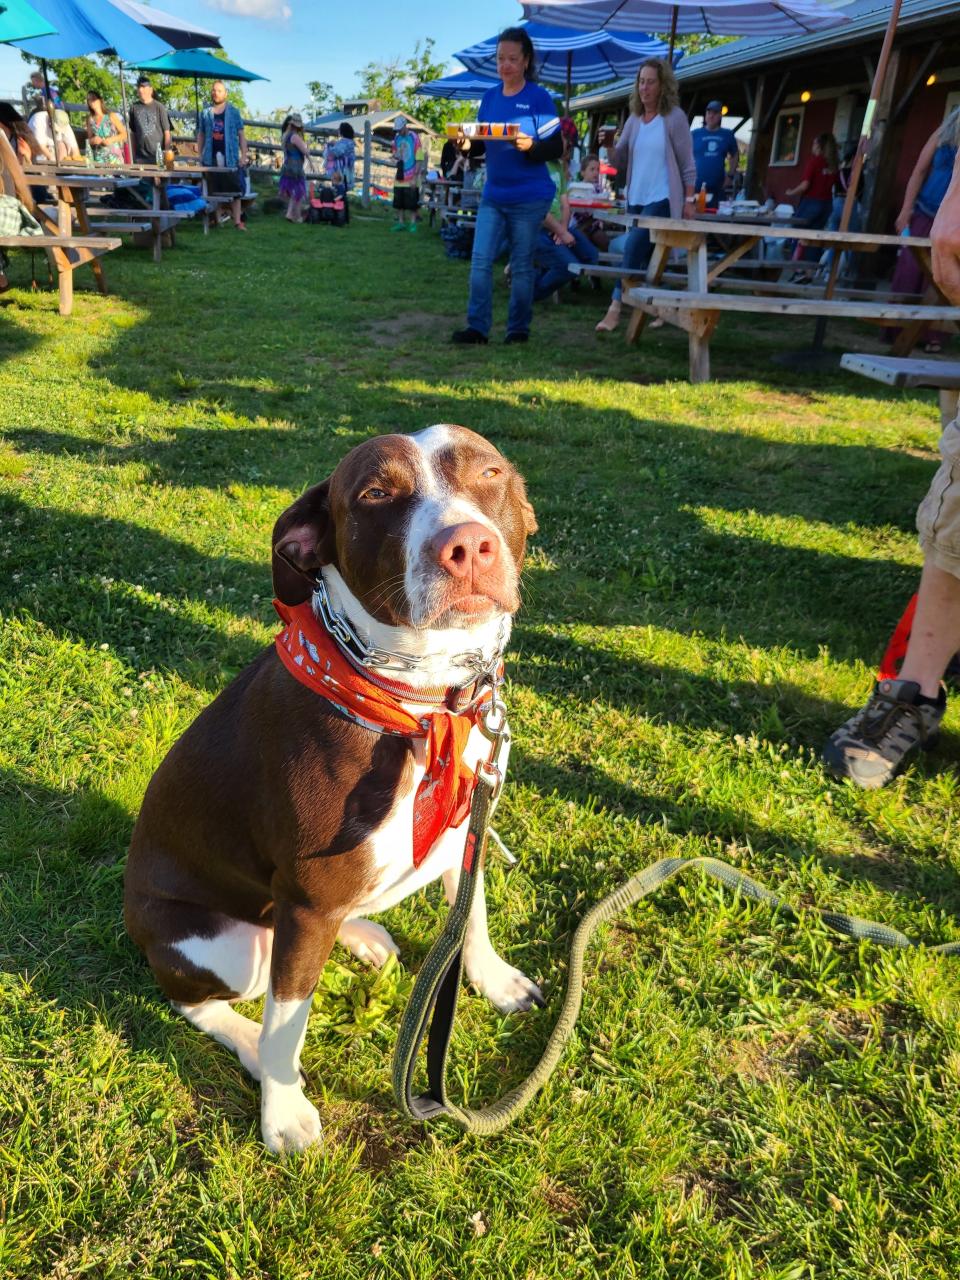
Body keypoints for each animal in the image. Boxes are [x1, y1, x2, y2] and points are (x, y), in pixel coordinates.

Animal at [122, 424, 542, 1157]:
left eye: (489, 473)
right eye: (375, 494)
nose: (467, 545)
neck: (422, 702)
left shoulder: (468, 826)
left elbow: (472, 916)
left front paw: (494, 980)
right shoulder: (307, 905)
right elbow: (286, 1025)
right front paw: (283, 1112)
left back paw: (365, 934)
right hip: (225, 945)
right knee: (199, 1000)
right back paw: (249, 1046)